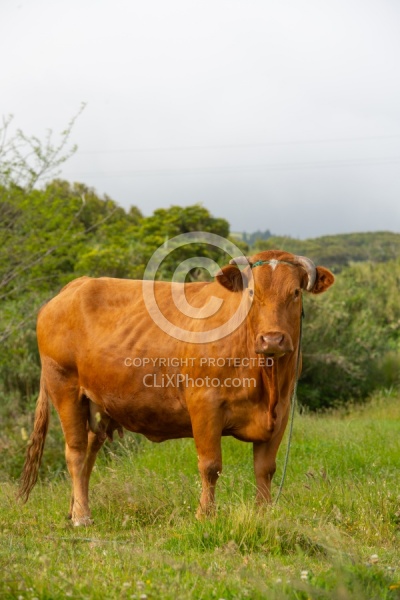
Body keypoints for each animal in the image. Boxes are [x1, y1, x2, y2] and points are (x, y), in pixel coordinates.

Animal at [18, 251, 334, 524]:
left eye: (295, 293)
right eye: (252, 294)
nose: (272, 339)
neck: (265, 379)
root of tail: (76, 285)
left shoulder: (281, 411)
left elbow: (265, 470)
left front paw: (264, 514)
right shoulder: (205, 404)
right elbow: (210, 466)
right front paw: (205, 515)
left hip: (98, 405)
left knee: (88, 456)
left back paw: (75, 509)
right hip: (65, 387)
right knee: (75, 453)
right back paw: (82, 517)